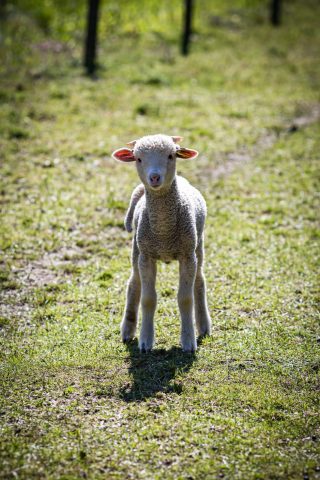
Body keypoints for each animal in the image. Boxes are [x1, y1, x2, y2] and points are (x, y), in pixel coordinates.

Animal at [111, 133, 211, 350]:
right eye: (138, 158)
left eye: (171, 156)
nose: (155, 177)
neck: (164, 231)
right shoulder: (147, 256)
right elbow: (148, 299)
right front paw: (145, 341)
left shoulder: (187, 255)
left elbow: (185, 298)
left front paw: (188, 341)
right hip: (137, 249)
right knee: (134, 283)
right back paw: (127, 330)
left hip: (197, 246)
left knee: (199, 281)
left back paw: (203, 326)